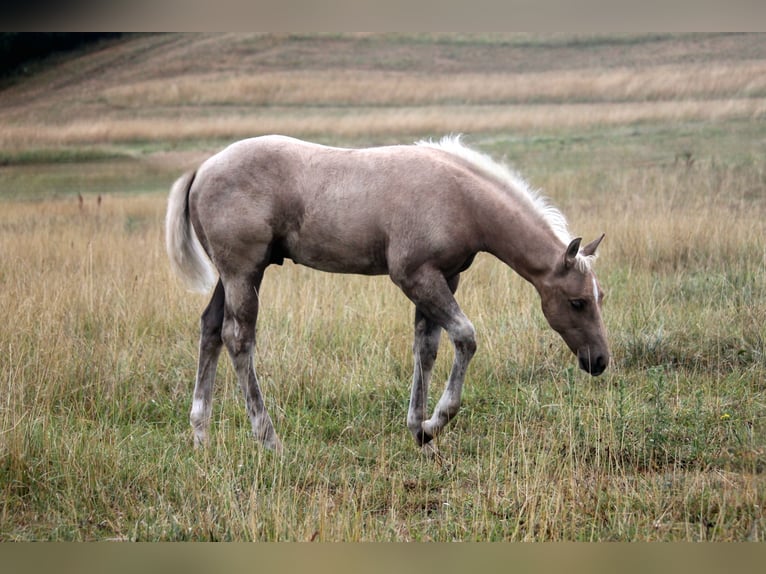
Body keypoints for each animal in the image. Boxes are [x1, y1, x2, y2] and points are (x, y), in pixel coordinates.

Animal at [165, 135, 609, 454]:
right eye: (577, 302)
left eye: (600, 296)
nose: (600, 361)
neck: (460, 197)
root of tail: (201, 170)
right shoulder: (415, 277)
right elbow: (464, 338)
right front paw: (436, 422)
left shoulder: (444, 278)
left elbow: (426, 349)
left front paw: (421, 434)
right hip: (243, 273)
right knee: (238, 339)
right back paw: (269, 439)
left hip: (233, 276)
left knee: (210, 329)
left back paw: (201, 435)